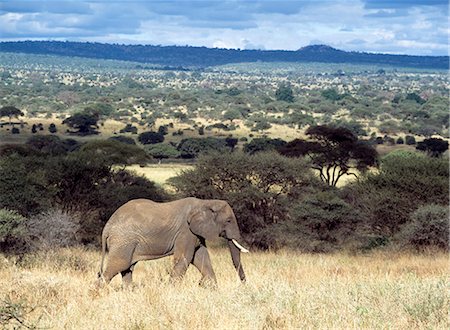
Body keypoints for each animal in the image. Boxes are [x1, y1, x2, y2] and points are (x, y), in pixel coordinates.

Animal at [97, 197, 250, 288]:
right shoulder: (185, 231)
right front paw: (172, 290)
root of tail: (107, 227)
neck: (204, 202)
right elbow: (185, 258)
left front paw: (211, 287)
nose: (244, 285)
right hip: (123, 241)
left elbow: (201, 257)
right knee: (118, 266)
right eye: (228, 221)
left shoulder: (195, 233)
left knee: (127, 269)